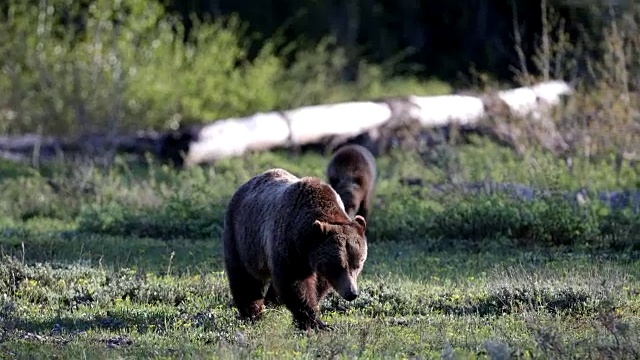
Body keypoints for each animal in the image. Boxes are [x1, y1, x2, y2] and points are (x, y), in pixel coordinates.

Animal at [222, 167, 368, 330]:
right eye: (338, 266)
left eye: (358, 264)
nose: (352, 293)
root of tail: (245, 184)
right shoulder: (290, 245)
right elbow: (295, 285)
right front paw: (314, 322)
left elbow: (317, 284)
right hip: (242, 238)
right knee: (244, 277)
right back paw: (253, 313)